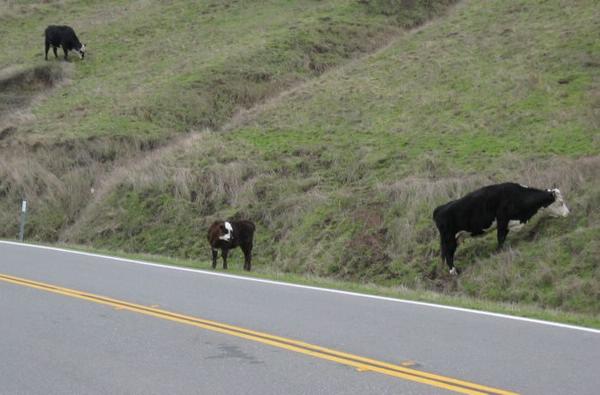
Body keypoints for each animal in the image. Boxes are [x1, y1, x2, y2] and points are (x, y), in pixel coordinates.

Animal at [434, 183, 568, 276]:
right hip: (449, 238)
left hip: (454, 238)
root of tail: (440, 208)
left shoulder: (507, 224)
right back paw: (454, 272)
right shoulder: (502, 221)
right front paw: (499, 252)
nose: (568, 213)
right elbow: (500, 238)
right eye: (561, 202)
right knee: (449, 254)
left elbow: (503, 239)